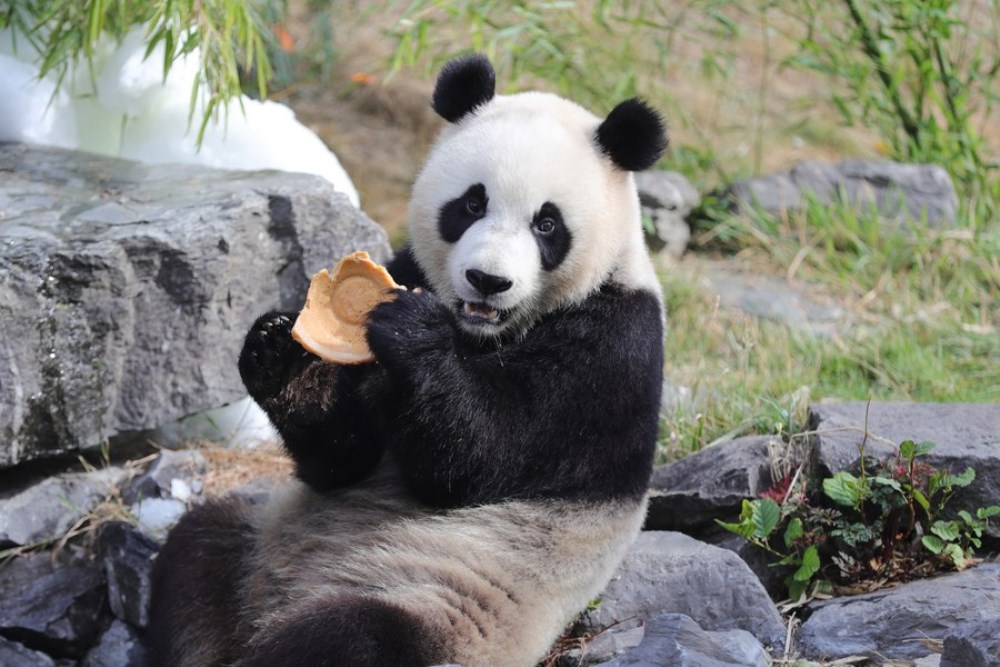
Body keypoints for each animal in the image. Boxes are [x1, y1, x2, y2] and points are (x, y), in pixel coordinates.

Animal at [147, 54, 667, 667]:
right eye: (472, 203)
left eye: (547, 224)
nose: (487, 280)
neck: (482, 334)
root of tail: (265, 613)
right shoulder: (409, 265)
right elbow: (342, 461)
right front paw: (281, 356)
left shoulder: (612, 348)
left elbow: (479, 460)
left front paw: (411, 332)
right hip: (255, 546)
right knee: (197, 555)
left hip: (438, 604)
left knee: (352, 638)